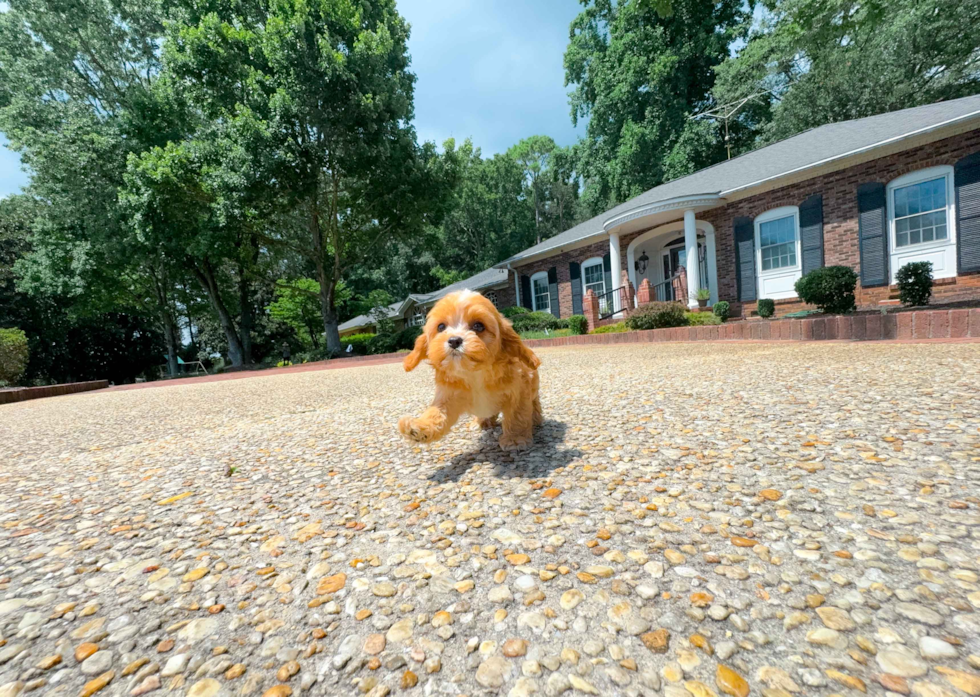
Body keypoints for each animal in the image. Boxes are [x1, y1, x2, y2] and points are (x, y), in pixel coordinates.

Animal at [396, 290, 544, 448]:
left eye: (478, 326)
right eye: (441, 327)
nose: (454, 340)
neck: (473, 374)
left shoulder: (518, 391)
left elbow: (517, 415)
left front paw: (515, 439)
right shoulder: (448, 396)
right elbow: (437, 412)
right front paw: (419, 428)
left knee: (534, 403)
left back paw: (535, 419)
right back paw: (482, 422)